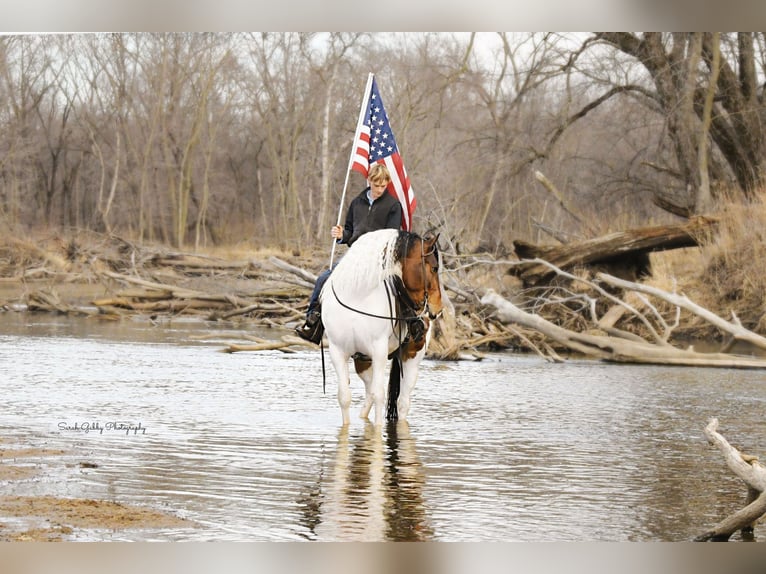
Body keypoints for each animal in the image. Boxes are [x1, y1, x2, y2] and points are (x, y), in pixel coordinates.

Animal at [320, 230, 448, 428]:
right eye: (434, 268)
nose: (438, 308)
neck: (356, 296)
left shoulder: (379, 351)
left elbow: (379, 395)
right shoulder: (337, 351)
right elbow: (345, 397)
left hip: (411, 359)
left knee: (402, 402)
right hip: (363, 361)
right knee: (369, 392)